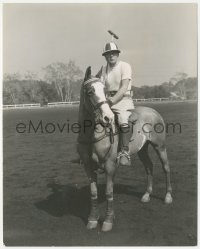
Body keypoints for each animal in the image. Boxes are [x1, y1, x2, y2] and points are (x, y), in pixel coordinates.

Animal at [76, 66, 172, 231]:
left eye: (104, 90)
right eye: (90, 91)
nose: (107, 117)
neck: (91, 135)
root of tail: (153, 111)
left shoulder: (110, 166)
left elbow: (109, 193)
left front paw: (108, 221)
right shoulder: (88, 166)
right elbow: (93, 193)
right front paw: (92, 219)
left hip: (160, 146)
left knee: (166, 167)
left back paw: (168, 196)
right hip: (142, 149)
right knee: (149, 167)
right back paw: (147, 195)